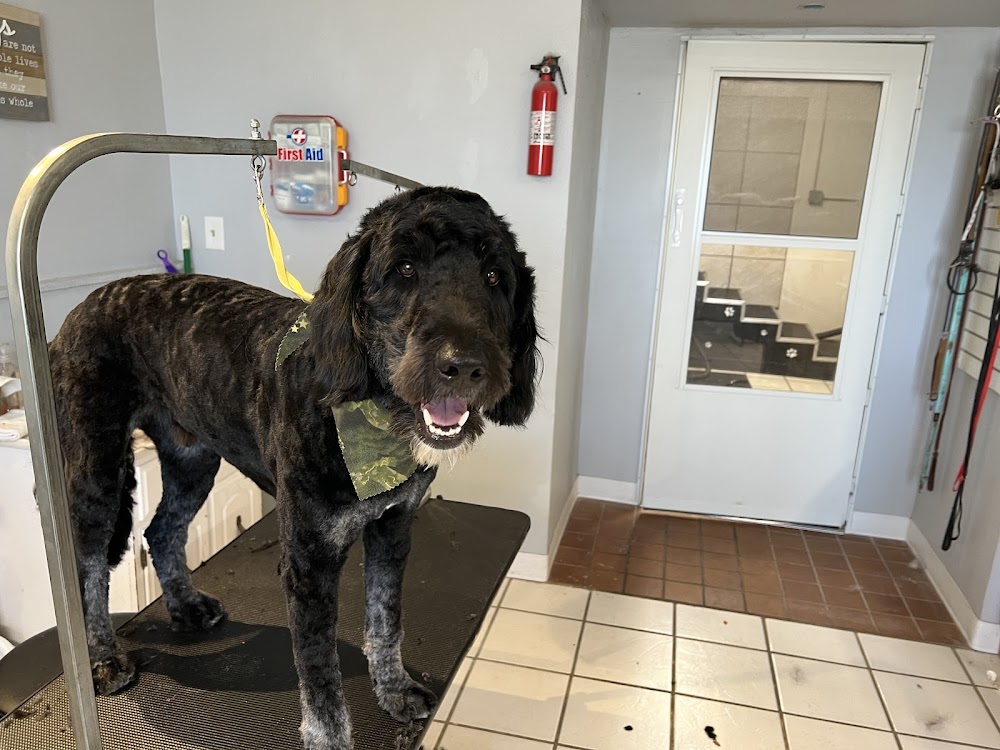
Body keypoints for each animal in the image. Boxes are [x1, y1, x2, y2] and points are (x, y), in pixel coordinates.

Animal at [48, 188, 540, 750]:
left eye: (495, 276)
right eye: (405, 268)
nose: (464, 366)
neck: (367, 407)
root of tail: (81, 307)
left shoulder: (394, 528)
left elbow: (385, 619)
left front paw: (393, 689)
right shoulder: (309, 559)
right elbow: (319, 669)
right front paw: (329, 737)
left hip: (193, 461)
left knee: (162, 530)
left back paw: (186, 606)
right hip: (96, 471)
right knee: (87, 567)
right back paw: (102, 658)